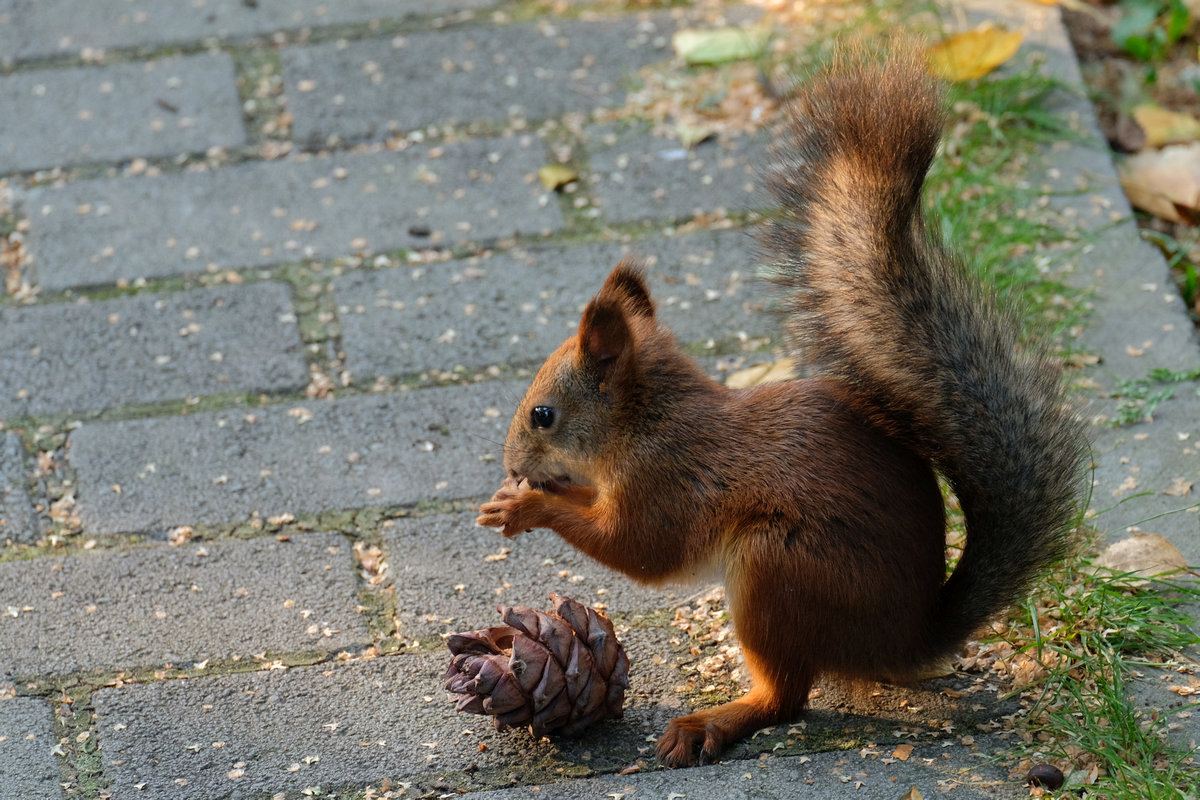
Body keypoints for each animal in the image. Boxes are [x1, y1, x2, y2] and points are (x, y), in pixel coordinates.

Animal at [472, 51, 1084, 767]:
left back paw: (712, 722)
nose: (511, 463)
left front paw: (526, 507)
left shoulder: (666, 484)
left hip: (777, 569)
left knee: (786, 698)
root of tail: (906, 639)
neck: (643, 423)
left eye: (543, 416)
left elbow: (638, 551)